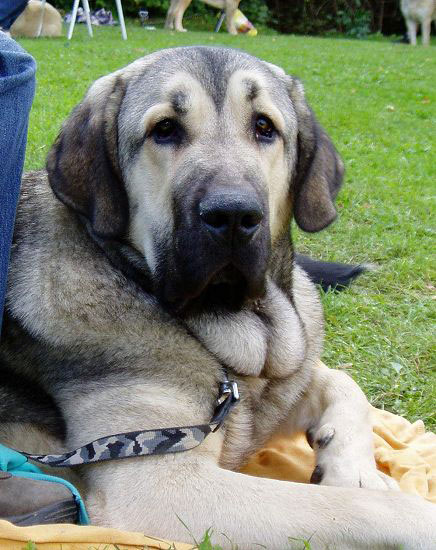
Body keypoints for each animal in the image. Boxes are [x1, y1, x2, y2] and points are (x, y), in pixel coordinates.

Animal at [0, 48, 436, 550]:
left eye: (264, 126)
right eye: (164, 129)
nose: (233, 214)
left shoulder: (279, 386)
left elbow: (344, 383)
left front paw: (356, 471)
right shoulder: (161, 484)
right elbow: (359, 507)